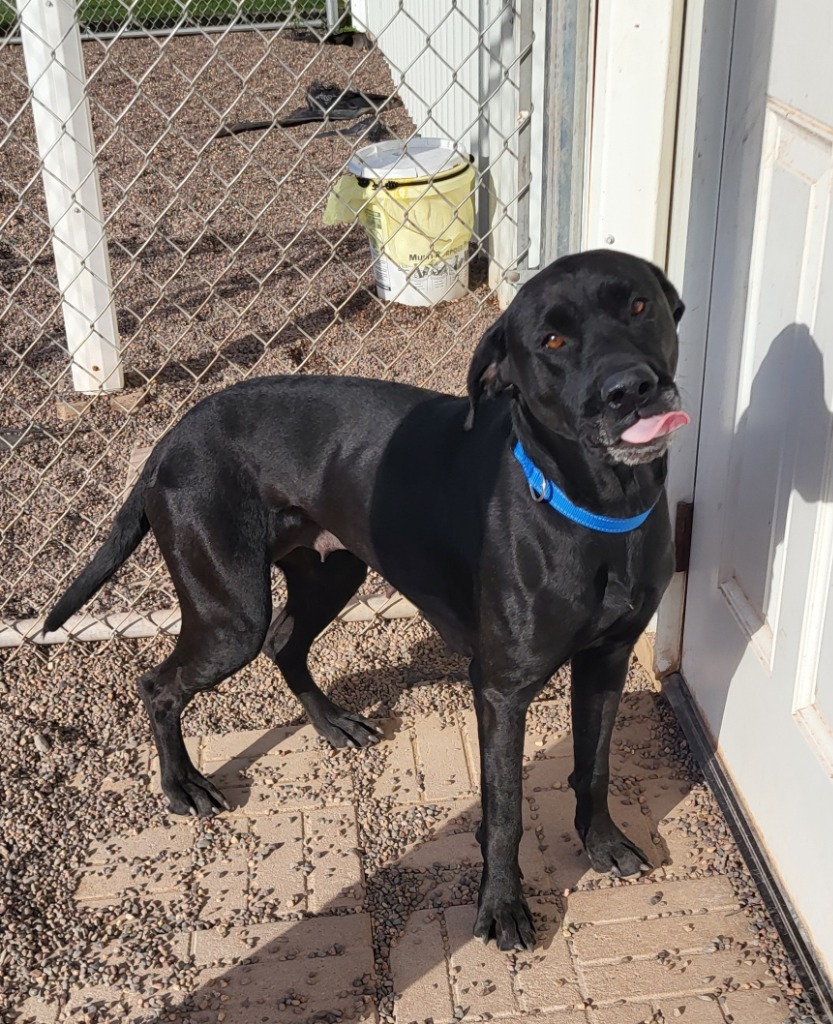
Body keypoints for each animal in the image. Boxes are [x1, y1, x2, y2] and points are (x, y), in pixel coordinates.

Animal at [43, 247, 688, 950]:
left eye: (639, 305)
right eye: (551, 340)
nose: (631, 389)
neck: (598, 510)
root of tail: (170, 436)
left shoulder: (608, 659)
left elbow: (594, 766)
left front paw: (602, 842)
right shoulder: (502, 689)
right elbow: (505, 809)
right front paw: (500, 905)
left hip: (332, 573)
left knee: (285, 642)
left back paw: (333, 723)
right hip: (230, 616)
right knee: (161, 684)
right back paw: (183, 784)